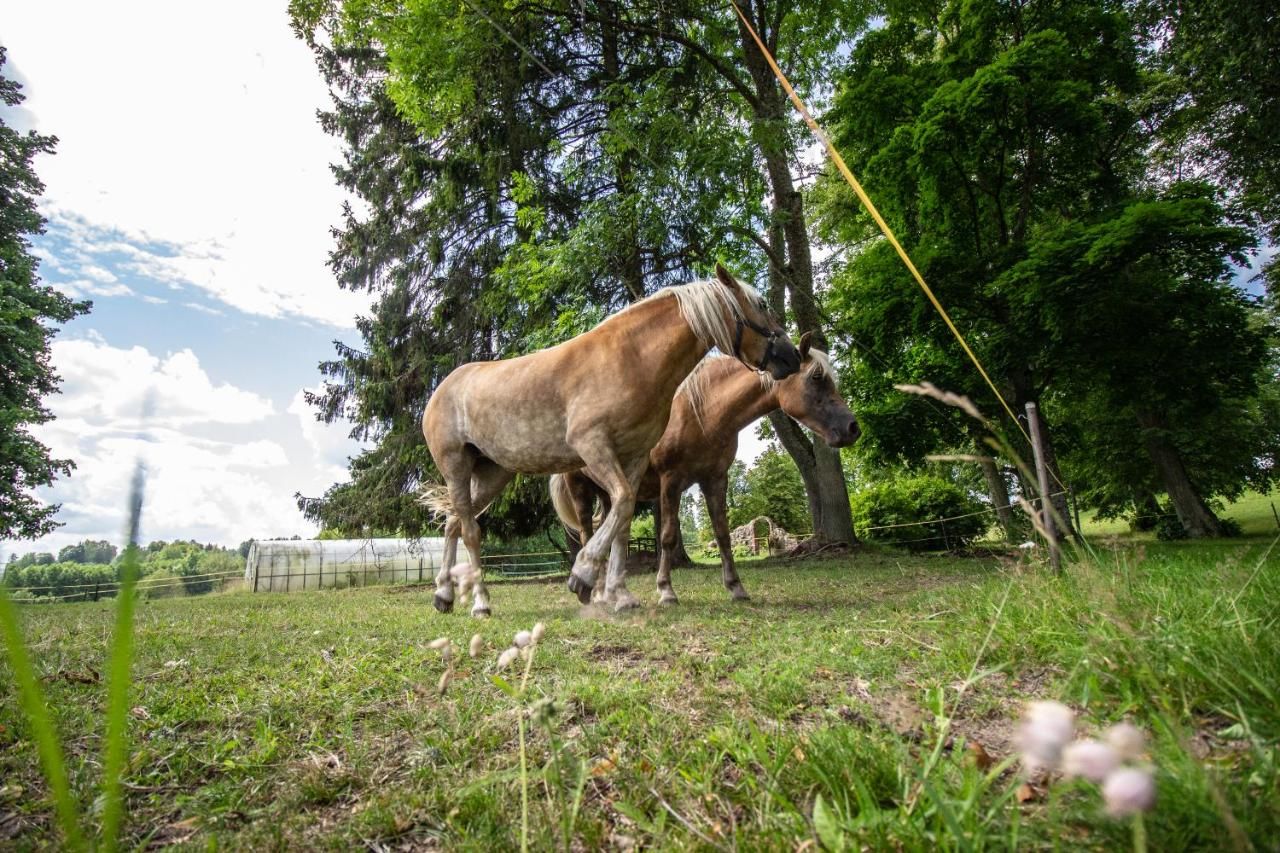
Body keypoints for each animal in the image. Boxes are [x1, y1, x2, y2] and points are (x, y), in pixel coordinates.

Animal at [419, 263, 798, 612]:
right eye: (762, 303)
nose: (792, 356)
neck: (629, 360)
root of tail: (441, 390)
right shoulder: (595, 447)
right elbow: (624, 504)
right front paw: (584, 575)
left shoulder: (634, 457)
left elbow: (624, 518)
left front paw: (619, 593)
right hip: (457, 467)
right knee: (470, 531)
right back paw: (480, 602)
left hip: (491, 474)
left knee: (453, 524)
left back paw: (443, 594)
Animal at [550, 333, 860, 604]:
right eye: (816, 377)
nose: (852, 428)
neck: (700, 412)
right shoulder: (670, 481)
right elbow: (668, 537)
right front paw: (666, 591)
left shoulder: (715, 479)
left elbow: (723, 534)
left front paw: (736, 587)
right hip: (581, 491)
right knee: (586, 534)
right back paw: (594, 592)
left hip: (608, 491)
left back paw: (605, 592)